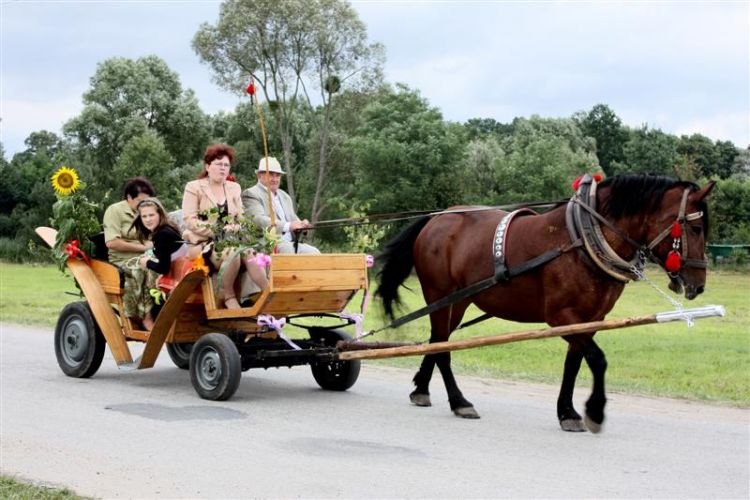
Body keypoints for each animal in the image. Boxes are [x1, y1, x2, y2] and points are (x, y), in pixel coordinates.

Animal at [378, 174, 712, 432]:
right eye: (695, 228)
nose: (698, 284)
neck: (581, 239)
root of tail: (438, 217)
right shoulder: (562, 316)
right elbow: (597, 359)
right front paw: (594, 410)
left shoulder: (592, 317)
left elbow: (574, 363)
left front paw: (567, 411)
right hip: (438, 293)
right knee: (442, 345)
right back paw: (459, 401)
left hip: (457, 300)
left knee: (438, 340)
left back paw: (422, 389)